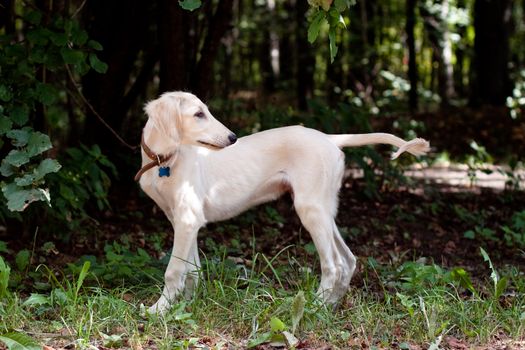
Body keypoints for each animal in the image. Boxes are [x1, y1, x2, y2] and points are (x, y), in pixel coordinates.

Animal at [136, 91, 430, 314]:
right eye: (198, 114)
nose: (233, 138)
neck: (165, 161)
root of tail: (327, 137)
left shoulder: (187, 220)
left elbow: (174, 269)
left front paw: (159, 310)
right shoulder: (186, 220)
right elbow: (191, 268)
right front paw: (186, 305)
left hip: (310, 209)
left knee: (333, 264)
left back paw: (313, 306)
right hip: (324, 208)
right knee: (348, 260)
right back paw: (331, 307)